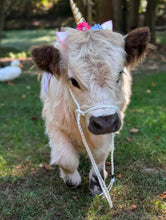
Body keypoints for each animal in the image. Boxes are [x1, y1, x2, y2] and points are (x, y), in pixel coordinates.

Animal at [31, 26, 150, 196]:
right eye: (73, 81)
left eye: (120, 74)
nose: (105, 122)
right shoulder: (54, 124)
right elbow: (66, 158)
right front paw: (70, 179)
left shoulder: (108, 128)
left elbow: (99, 155)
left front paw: (97, 182)